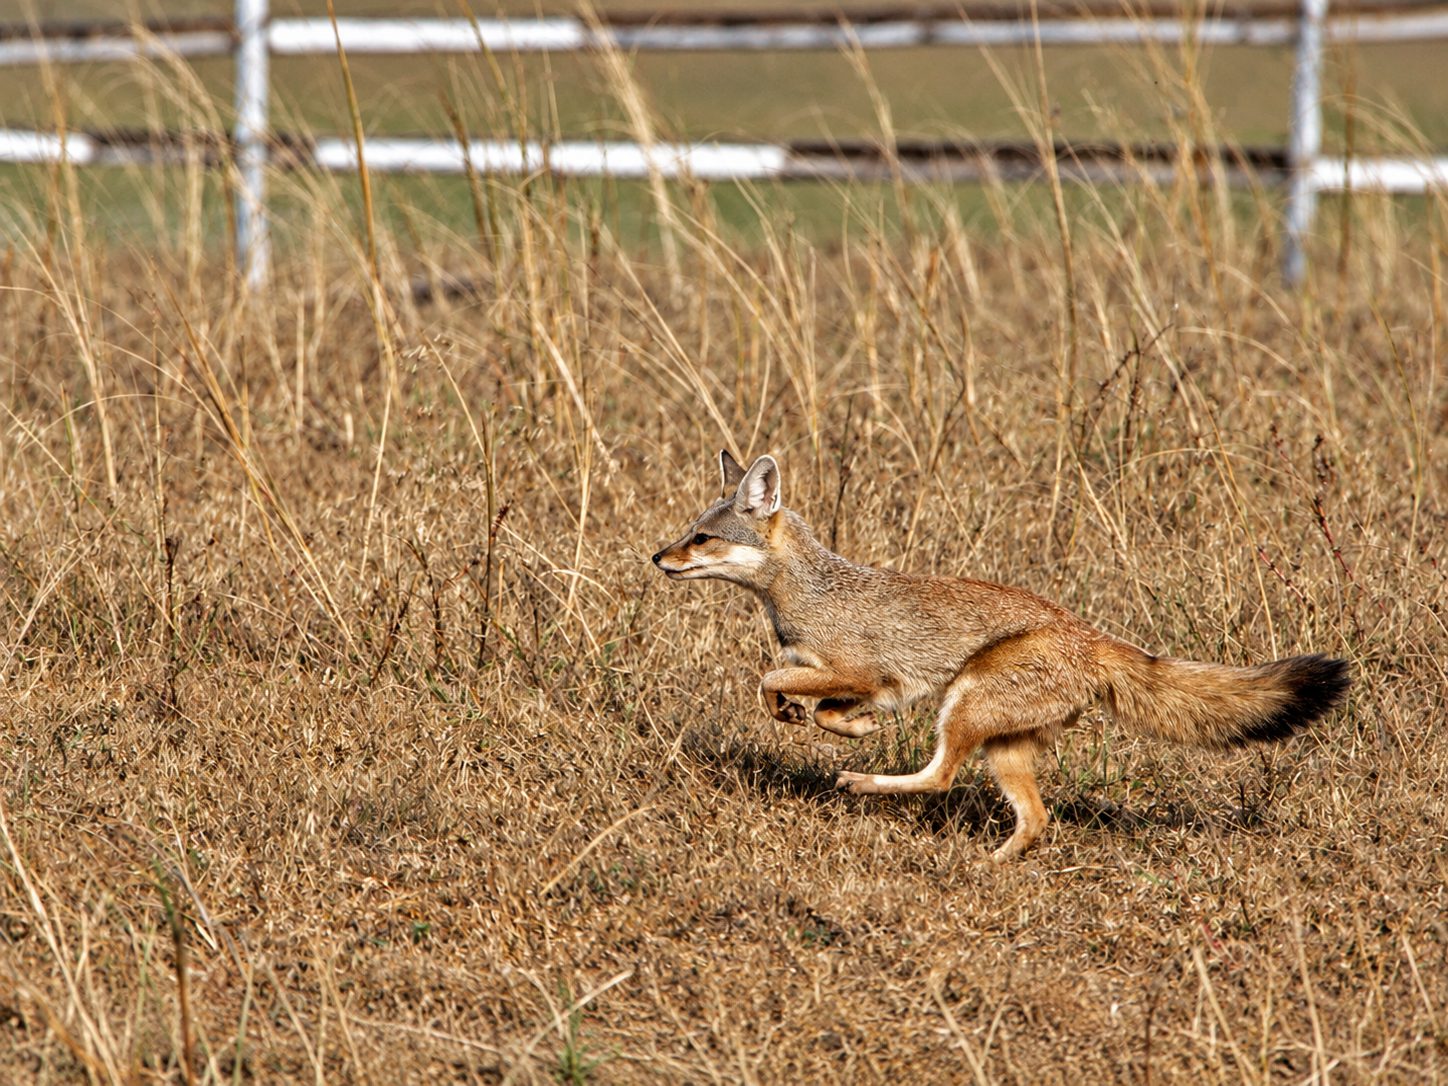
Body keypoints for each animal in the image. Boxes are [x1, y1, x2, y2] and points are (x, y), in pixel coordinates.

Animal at [651, 450, 1351, 862]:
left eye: (700, 538)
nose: (657, 557)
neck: (810, 590)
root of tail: (1090, 637)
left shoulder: (860, 670)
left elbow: (769, 678)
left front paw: (804, 716)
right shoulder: (872, 683)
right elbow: (820, 706)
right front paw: (851, 725)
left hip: (964, 709)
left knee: (940, 777)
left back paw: (865, 785)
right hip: (1001, 746)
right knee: (1036, 818)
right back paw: (992, 864)